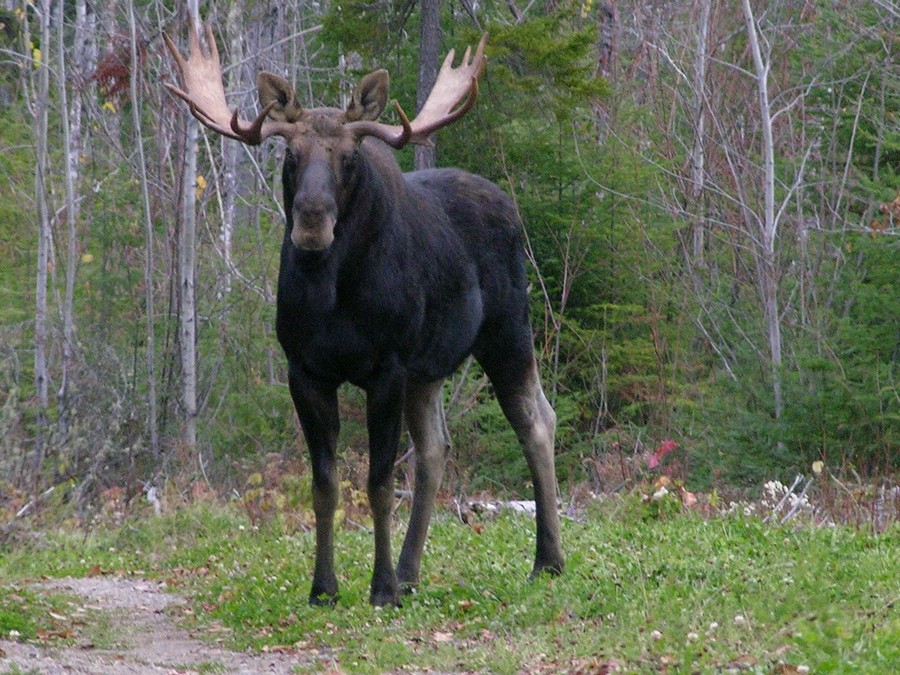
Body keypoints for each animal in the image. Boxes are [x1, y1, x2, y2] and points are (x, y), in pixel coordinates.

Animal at [163, 23, 564, 608]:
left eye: (349, 157)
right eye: (290, 154)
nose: (312, 220)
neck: (333, 297)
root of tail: (509, 205)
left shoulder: (387, 367)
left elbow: (377, 482)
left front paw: (380, 589)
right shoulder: (306, 370)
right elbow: (325, 484)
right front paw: (324, 587)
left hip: (508, 331)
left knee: (536, 421)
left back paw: (547, 560)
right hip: (429, 368)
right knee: (435, 449)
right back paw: (412, 571)